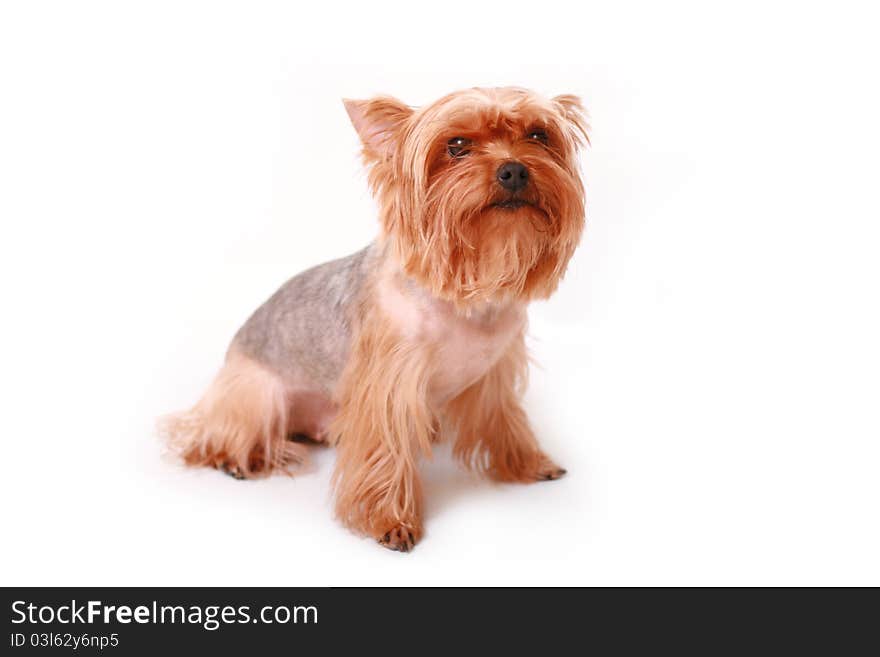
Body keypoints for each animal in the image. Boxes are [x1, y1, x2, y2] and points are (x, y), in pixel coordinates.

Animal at [165, 86, 592, 548]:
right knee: (212, 436)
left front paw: (528, 463)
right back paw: (240, 457)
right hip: (255, 394)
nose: (513, 170)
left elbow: (505, 420)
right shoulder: (388, 384)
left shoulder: (493, 374)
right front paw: (390, 520)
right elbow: (386, 449)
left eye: (538, 135)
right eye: (456, 145)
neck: (464, 298)